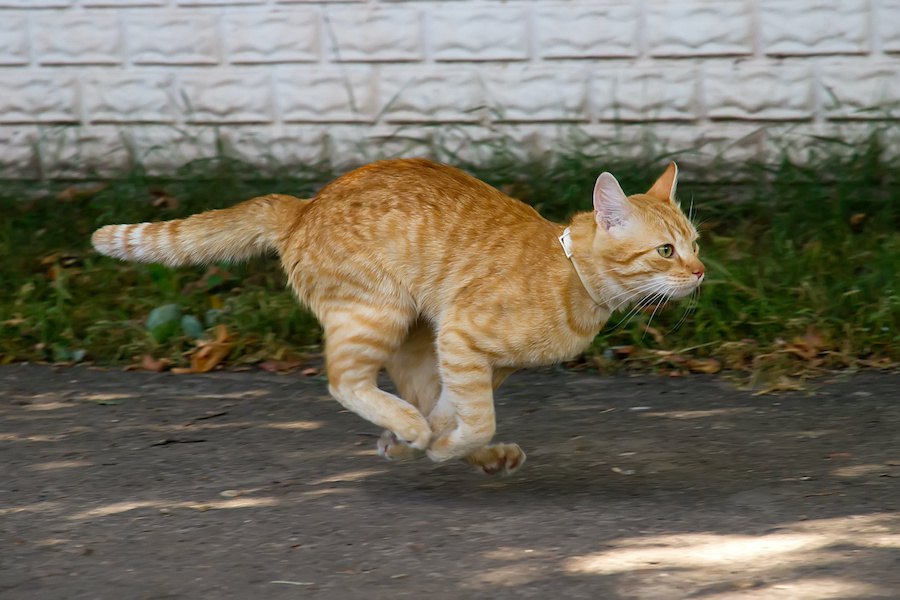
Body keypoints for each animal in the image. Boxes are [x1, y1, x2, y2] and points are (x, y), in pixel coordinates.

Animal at [95, 158, 708, 474]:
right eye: (665, 252)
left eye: (695, 243)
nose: (701, 272)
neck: (572, 276)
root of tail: (305, 205)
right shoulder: (462, 337)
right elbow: (472, 418)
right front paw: (435, 445)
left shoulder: (478, 362)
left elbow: (454, 410)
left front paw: (430, 443)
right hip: (377, 314)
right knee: (345, 380)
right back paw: (413, 432)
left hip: (414, 337)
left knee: (412, 393)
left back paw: (439, 445)